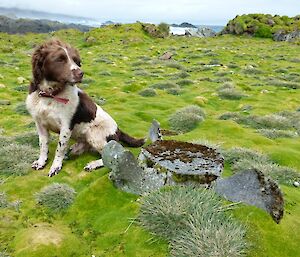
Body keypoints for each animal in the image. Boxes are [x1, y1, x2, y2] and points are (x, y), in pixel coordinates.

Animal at [25, 39, 144, 176]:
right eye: (59, 59)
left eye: (76, 60)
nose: (80, 73)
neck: (50, 95)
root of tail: (118, 130)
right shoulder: (40, 124)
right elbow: (43, 145)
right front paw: (41, 162)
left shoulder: (66, 127)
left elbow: (60, 149)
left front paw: (55, 167)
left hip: (94, 135)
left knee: (112, 156)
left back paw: (92, 164)